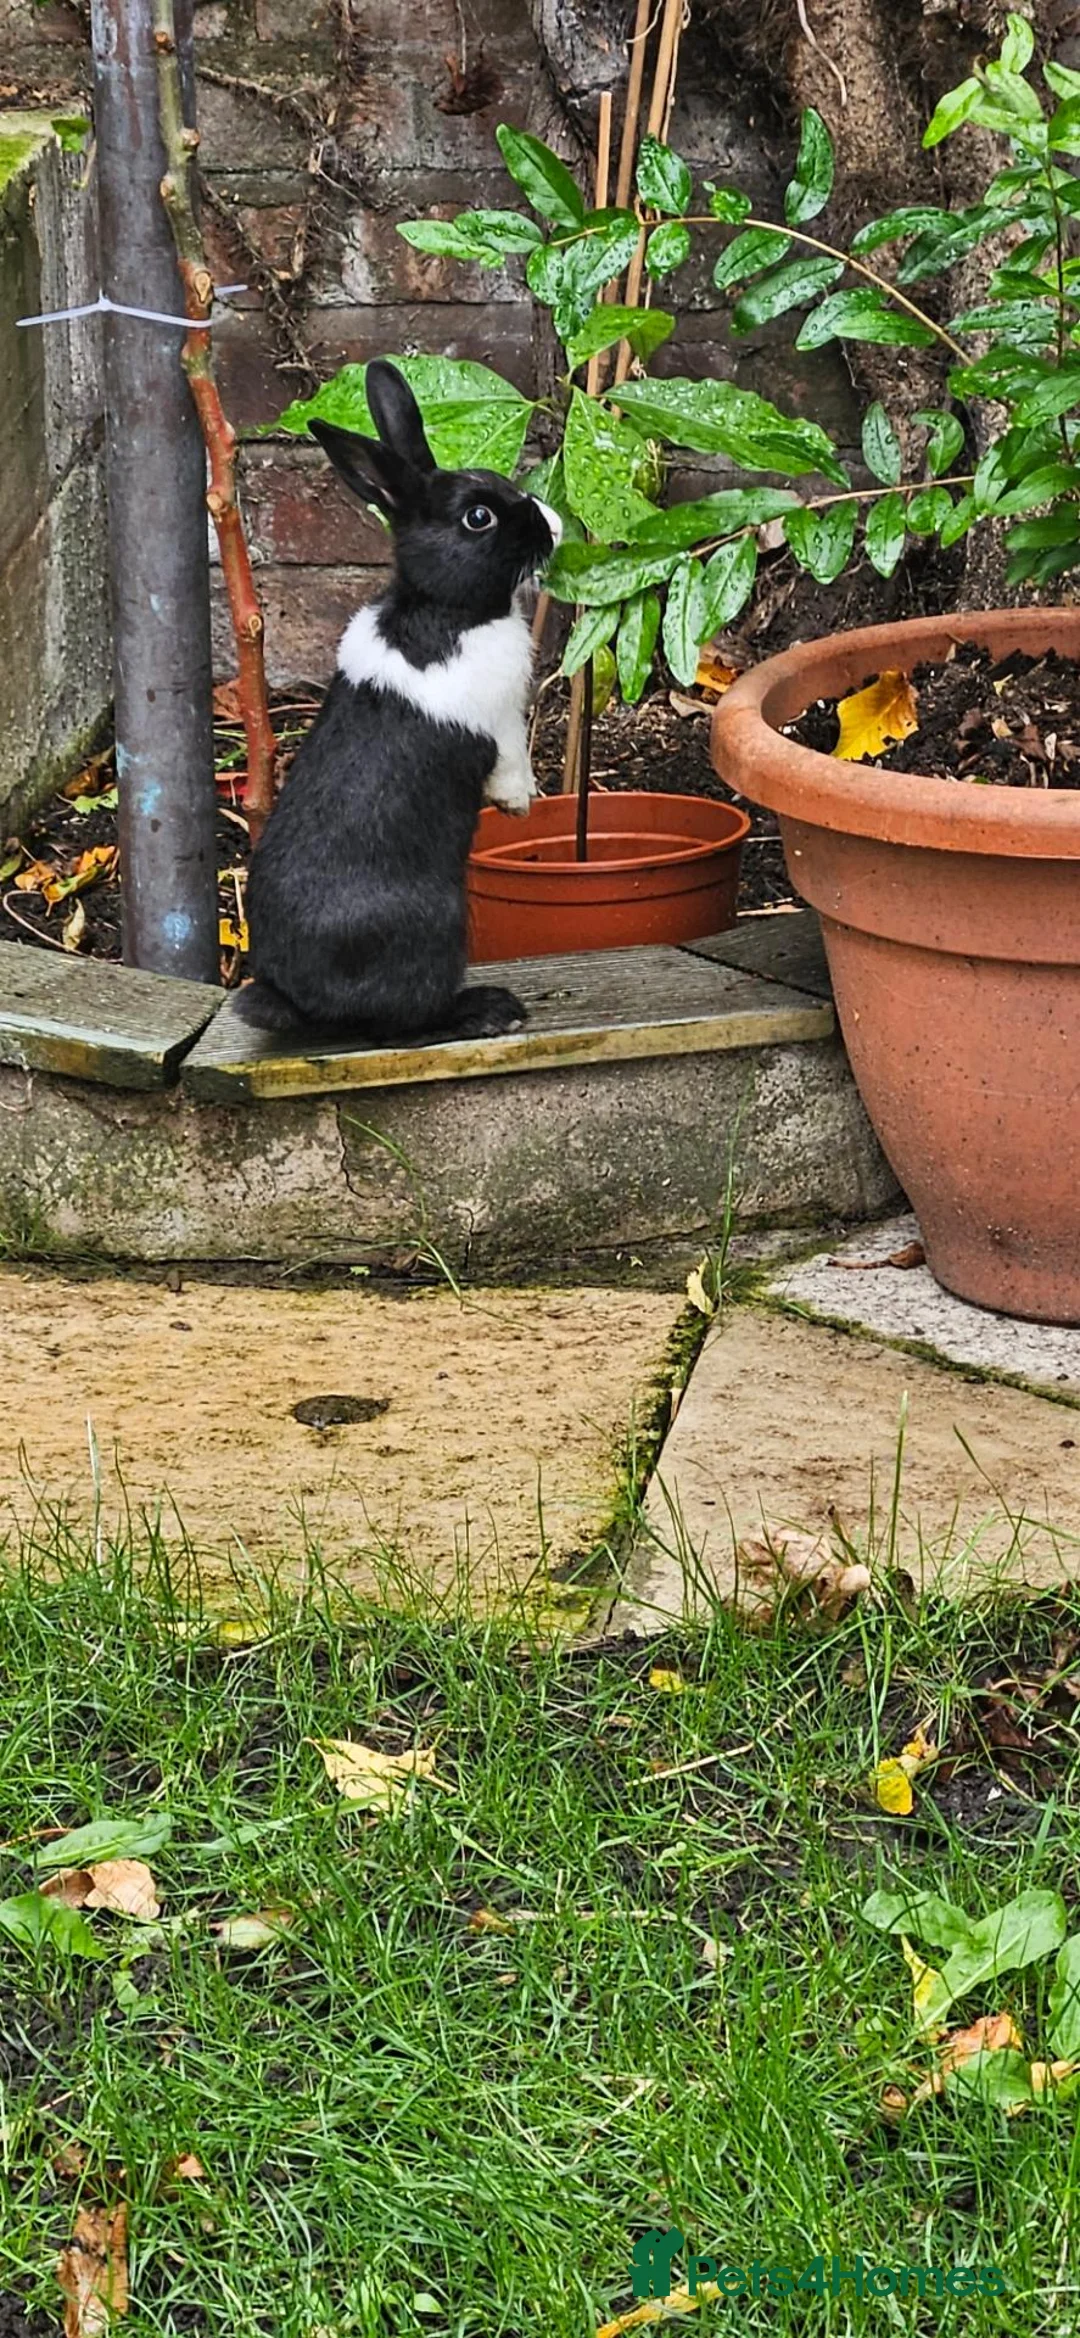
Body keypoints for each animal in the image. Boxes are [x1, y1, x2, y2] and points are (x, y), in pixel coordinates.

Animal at [234, 358, 562, 1042]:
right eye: (479, 518)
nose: (551, 522)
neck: (443, 609)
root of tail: (300, 1001)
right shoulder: (497, 719)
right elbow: (511, 760)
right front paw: (519, 805)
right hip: (440, 925)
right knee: (406, 1022)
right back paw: (488, 1010)